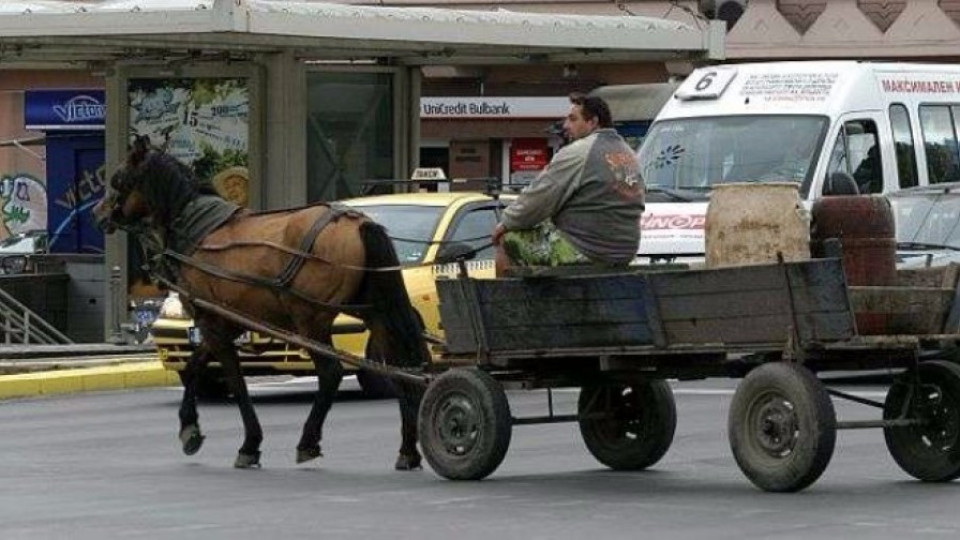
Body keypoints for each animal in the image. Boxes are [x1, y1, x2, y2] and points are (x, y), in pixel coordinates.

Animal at [92, 136, 430, 472]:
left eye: (118, 178)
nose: (98, 212)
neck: (199, 231)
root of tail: (357, 222)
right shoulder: (223, 322)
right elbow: (194, 365)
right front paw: (191, 426)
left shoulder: (212, 321)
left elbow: (235, 381)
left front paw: (248, 443)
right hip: (377, 315)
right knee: (400, 369)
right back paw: (408, 451)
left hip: (311, 319)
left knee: (331, 373)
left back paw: (308, 441)